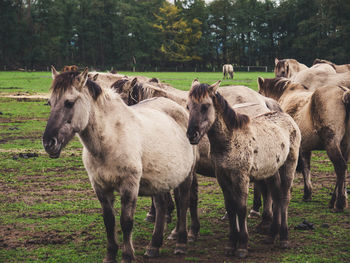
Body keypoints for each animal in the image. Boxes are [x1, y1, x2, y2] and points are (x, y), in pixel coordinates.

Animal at [41, 67, 198, 262]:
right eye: (50, 102)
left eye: (69, 103)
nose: (49, 143)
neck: (110, 138)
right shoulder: (100, 187)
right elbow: (109, 221)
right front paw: (110, 255)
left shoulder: (129, 186)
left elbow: (126, 222)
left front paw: (127, 255)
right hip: (160, 179)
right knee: (161, 206)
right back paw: (154, 245)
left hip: (187, 175)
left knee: (183, 202)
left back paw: (181, 242)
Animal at [186, 79, 300, 258]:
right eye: (188, 106)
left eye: (205, 106)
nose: (192, 135)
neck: (230, 140)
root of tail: (287, 117)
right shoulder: (223, 178)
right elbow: (231, 208)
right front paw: (231, 244)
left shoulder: (241, 178)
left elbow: (241, 208)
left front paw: (242, 246)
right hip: (272, 171)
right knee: (276, 197)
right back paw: (271, 236)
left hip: (289, 166)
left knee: (284, 198)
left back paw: (284, 238)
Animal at [258, 77, 350, 212]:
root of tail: (343, 93)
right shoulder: (305, 147)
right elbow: (306, 167)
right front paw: (308, 193)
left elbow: (302, 168)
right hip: (345, 146)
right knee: (342, 170)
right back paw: (334, 200)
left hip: (332, 143)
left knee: (340, 167)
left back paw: (339, 203)